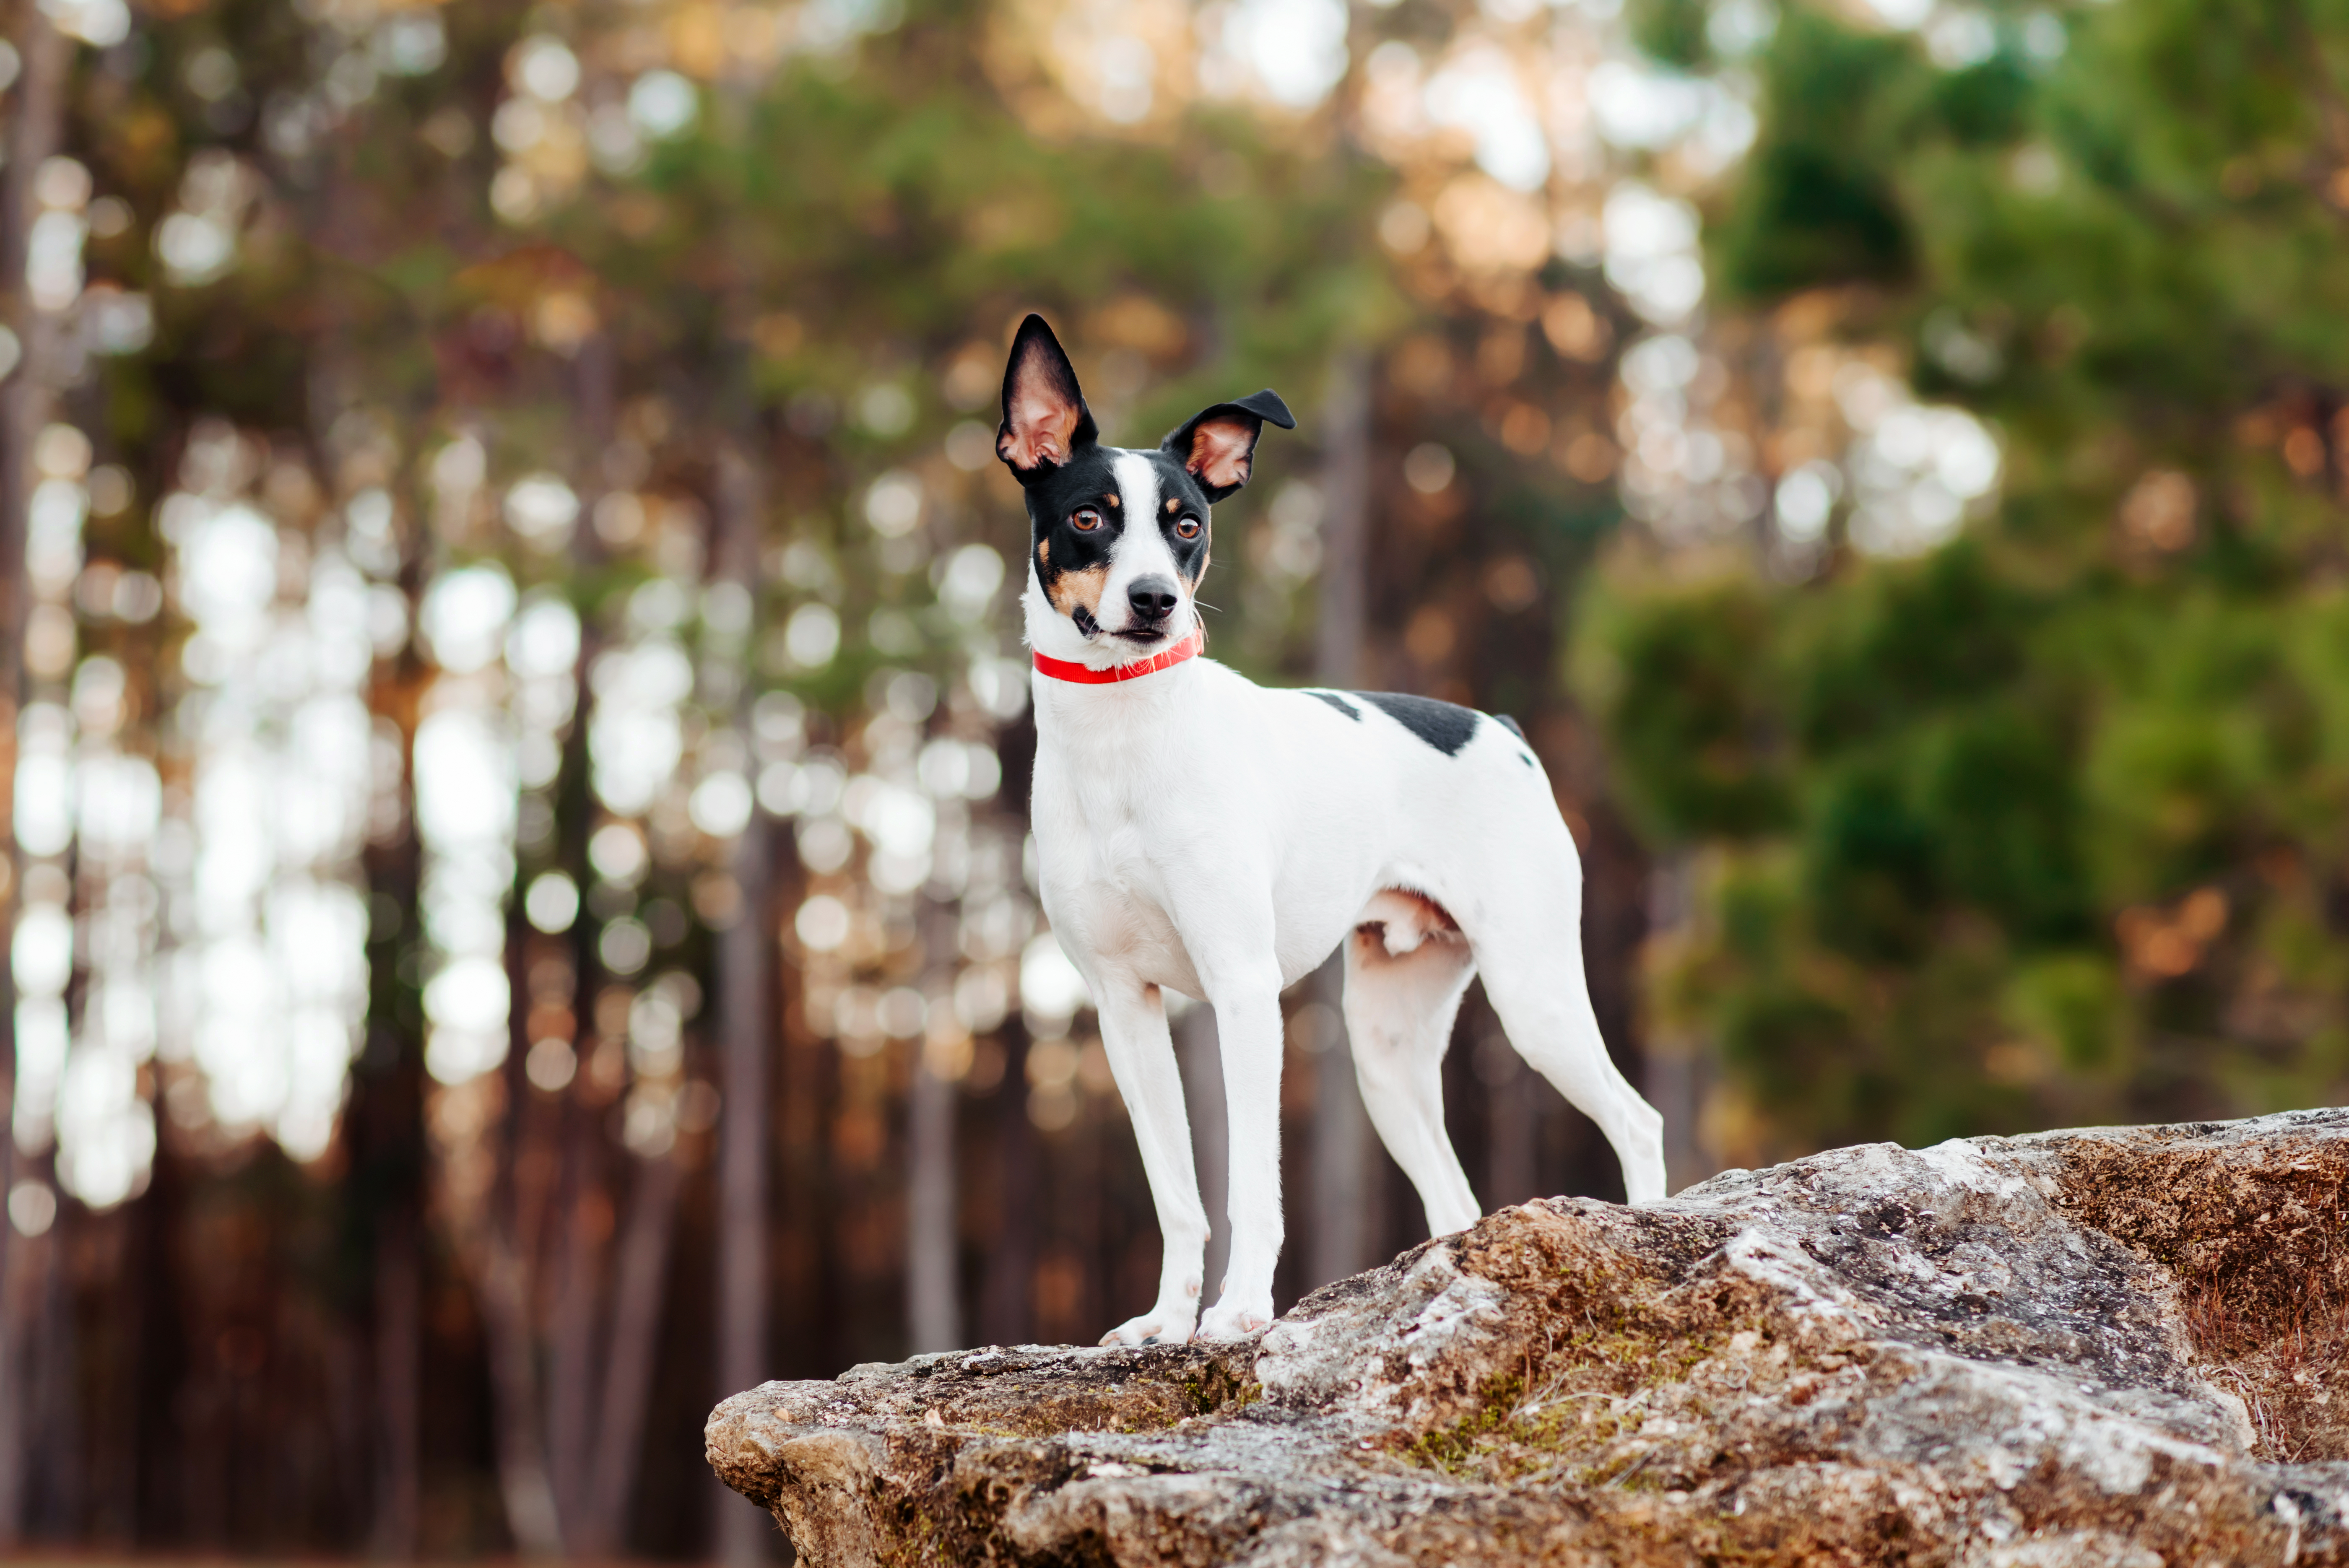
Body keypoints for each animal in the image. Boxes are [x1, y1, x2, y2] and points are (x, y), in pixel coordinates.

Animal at [991, 312, 1672, 1342]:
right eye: (1086, 517)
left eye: (1186, 526)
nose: (1155, 601)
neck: (1124, 738)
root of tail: (1503, 731)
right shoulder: (1123, 1008)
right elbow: (1177, 1193)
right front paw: (1166, 1321)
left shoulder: (1241, 991)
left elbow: (1249, 1187)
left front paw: (1238, 1311)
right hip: (1386, 1052)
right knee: (1454, 1197)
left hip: (1535, 995)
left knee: (1637, 1121)